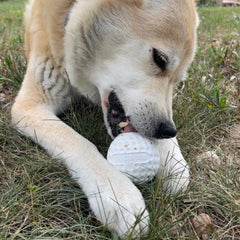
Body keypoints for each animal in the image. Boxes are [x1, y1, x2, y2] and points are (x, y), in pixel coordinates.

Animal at [11, 0, 199, 238]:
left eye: (178, 80)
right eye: (159, 59)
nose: (168, 131)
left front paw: (173, 161)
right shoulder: (29, 106)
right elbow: (80, 143)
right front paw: (116, 194)